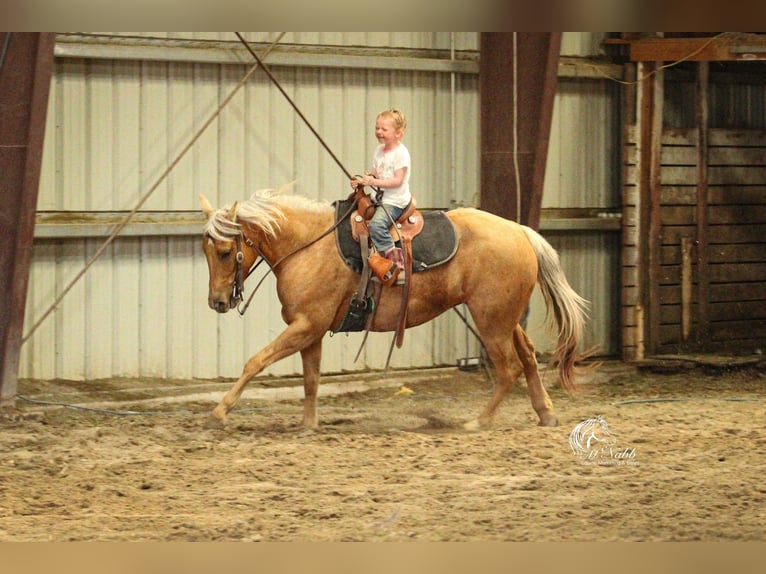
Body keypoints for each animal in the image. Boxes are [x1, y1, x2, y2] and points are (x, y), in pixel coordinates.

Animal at [199, 185, 589, 430]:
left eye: (225, 252)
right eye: (206, 250)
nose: (217, 301)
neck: (308, 244)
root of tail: (521, 231)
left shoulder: (305, 325)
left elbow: (256, 361)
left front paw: (219, 413)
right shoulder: (310, 329)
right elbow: (311, 379)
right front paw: (308, 425)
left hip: (491, 321)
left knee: (509, 368)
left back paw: (478, 421)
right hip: (505, 318)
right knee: (528, 355)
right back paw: (546, 413)